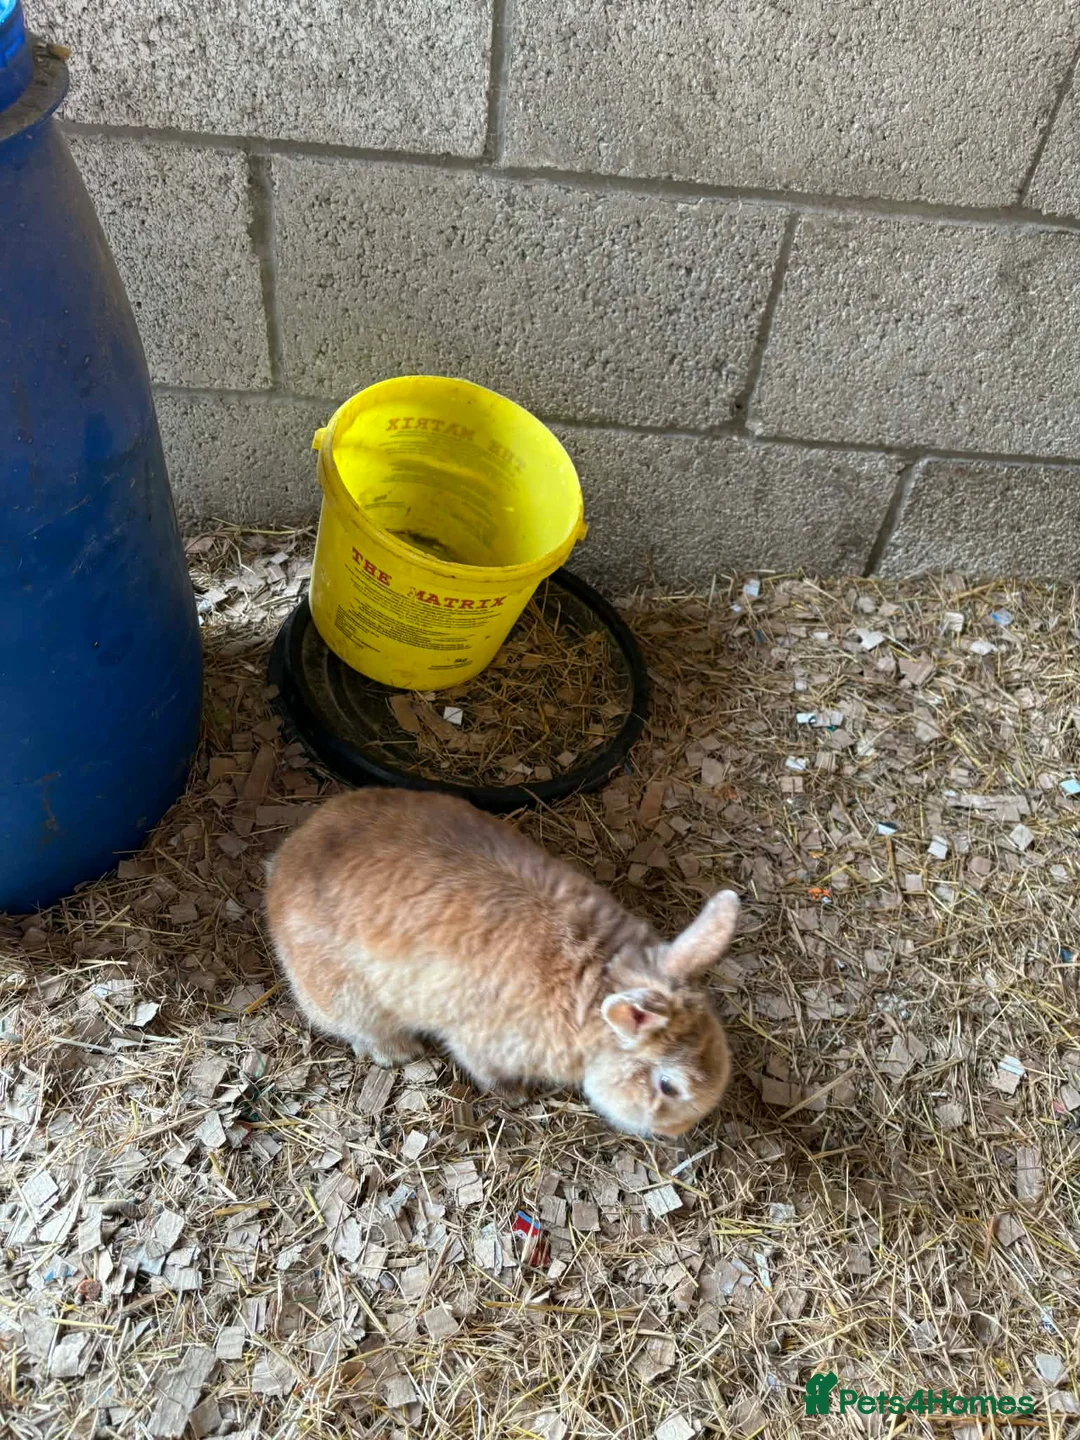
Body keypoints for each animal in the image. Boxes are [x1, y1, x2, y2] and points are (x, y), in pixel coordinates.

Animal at [264, 787, 739, 1139]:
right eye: (668, 1086)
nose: (681, 1131)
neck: (596, 992)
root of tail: (281, 866)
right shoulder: (480, 1043)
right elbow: (487, 1071)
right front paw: (516, 1096)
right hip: (346, 996)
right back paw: (397, 1052)